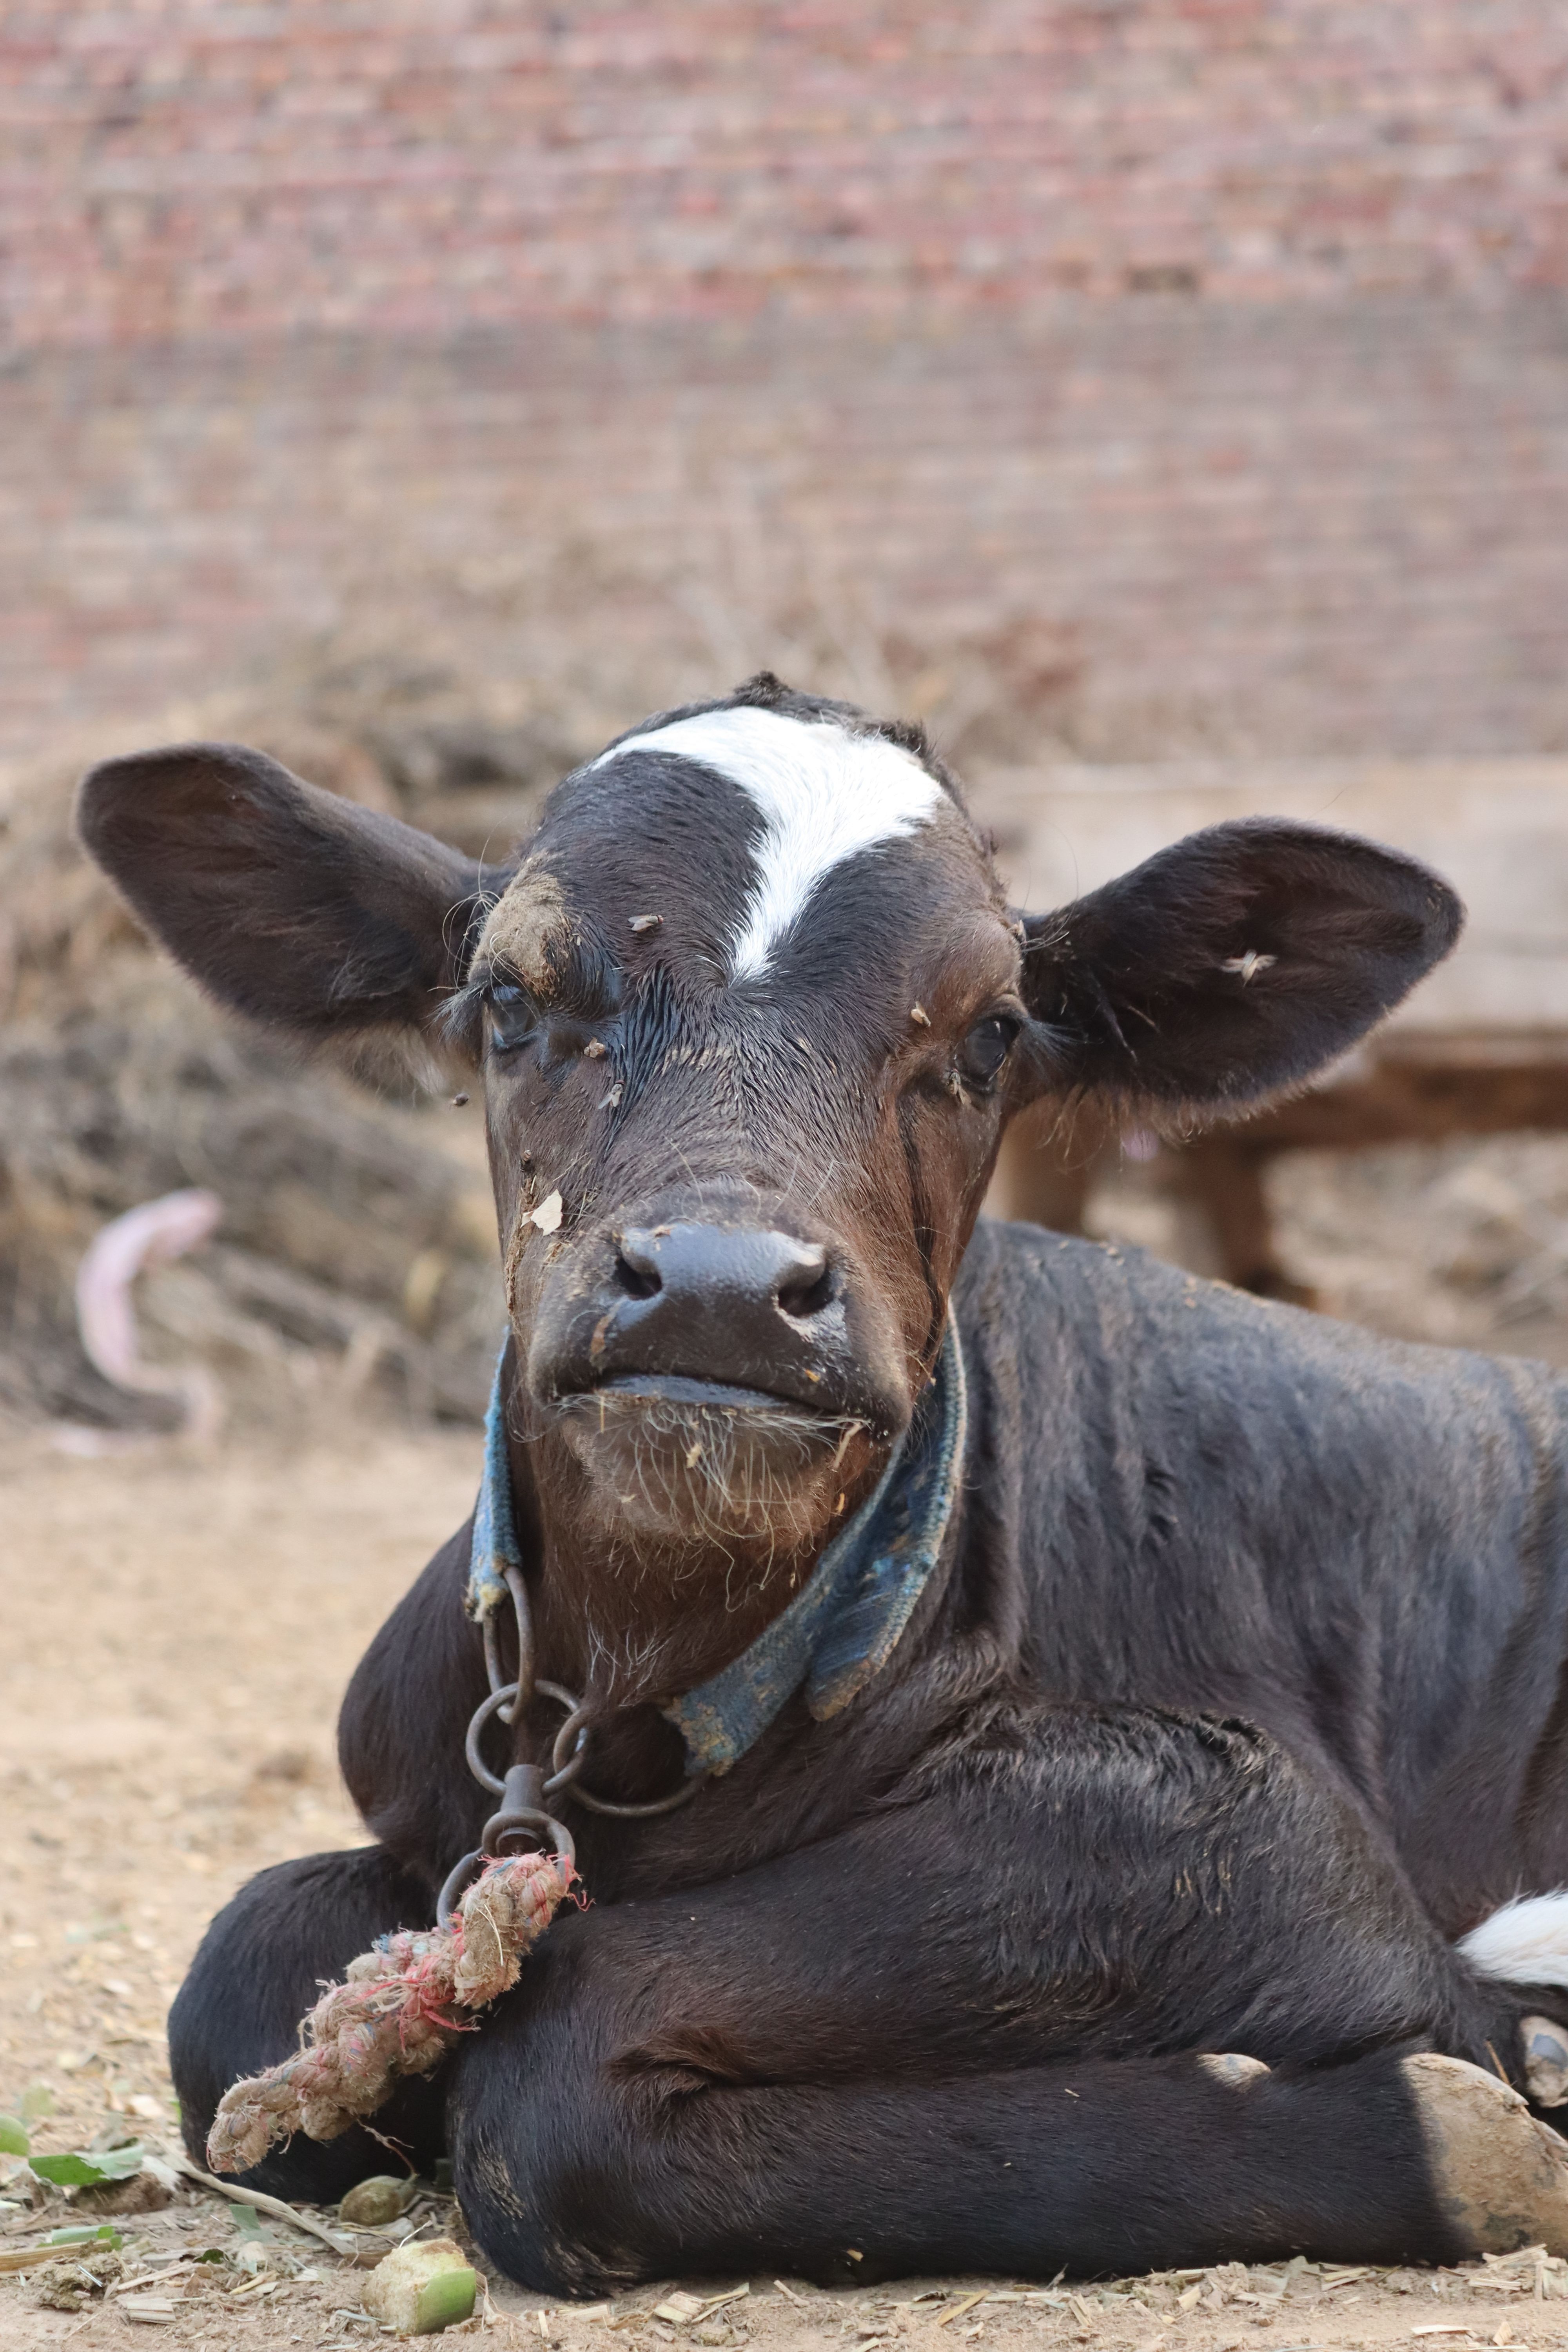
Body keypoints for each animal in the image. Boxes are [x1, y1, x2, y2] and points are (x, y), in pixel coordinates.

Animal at [76, 675, 1568, 2294]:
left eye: (988, 1037)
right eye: (513, 999)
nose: (720, 1288)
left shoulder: (1257, 1829)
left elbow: (560, 2072)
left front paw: (1451, 2127)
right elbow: (241, 1970)